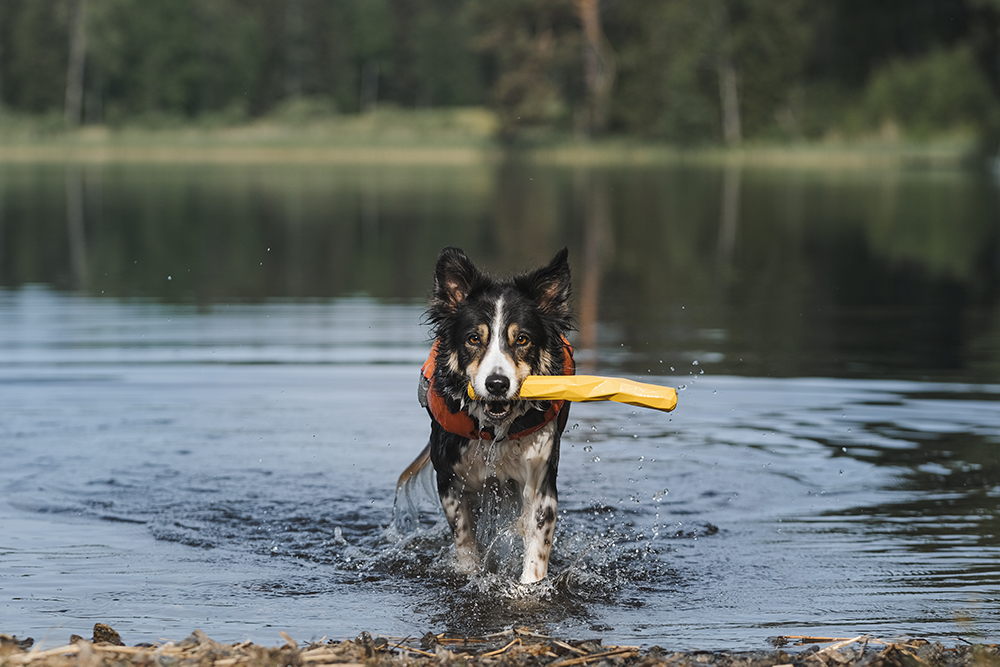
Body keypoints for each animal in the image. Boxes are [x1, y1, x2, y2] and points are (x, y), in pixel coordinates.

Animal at [396, 247, 576, 584]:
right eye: (473, 339)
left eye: (522, 339)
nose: (497, 384)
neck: (495, 432)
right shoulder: (449, 477)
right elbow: (464, 535)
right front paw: (470, 570)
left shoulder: (541, 475)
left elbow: (538, 541)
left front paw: (529, 587)